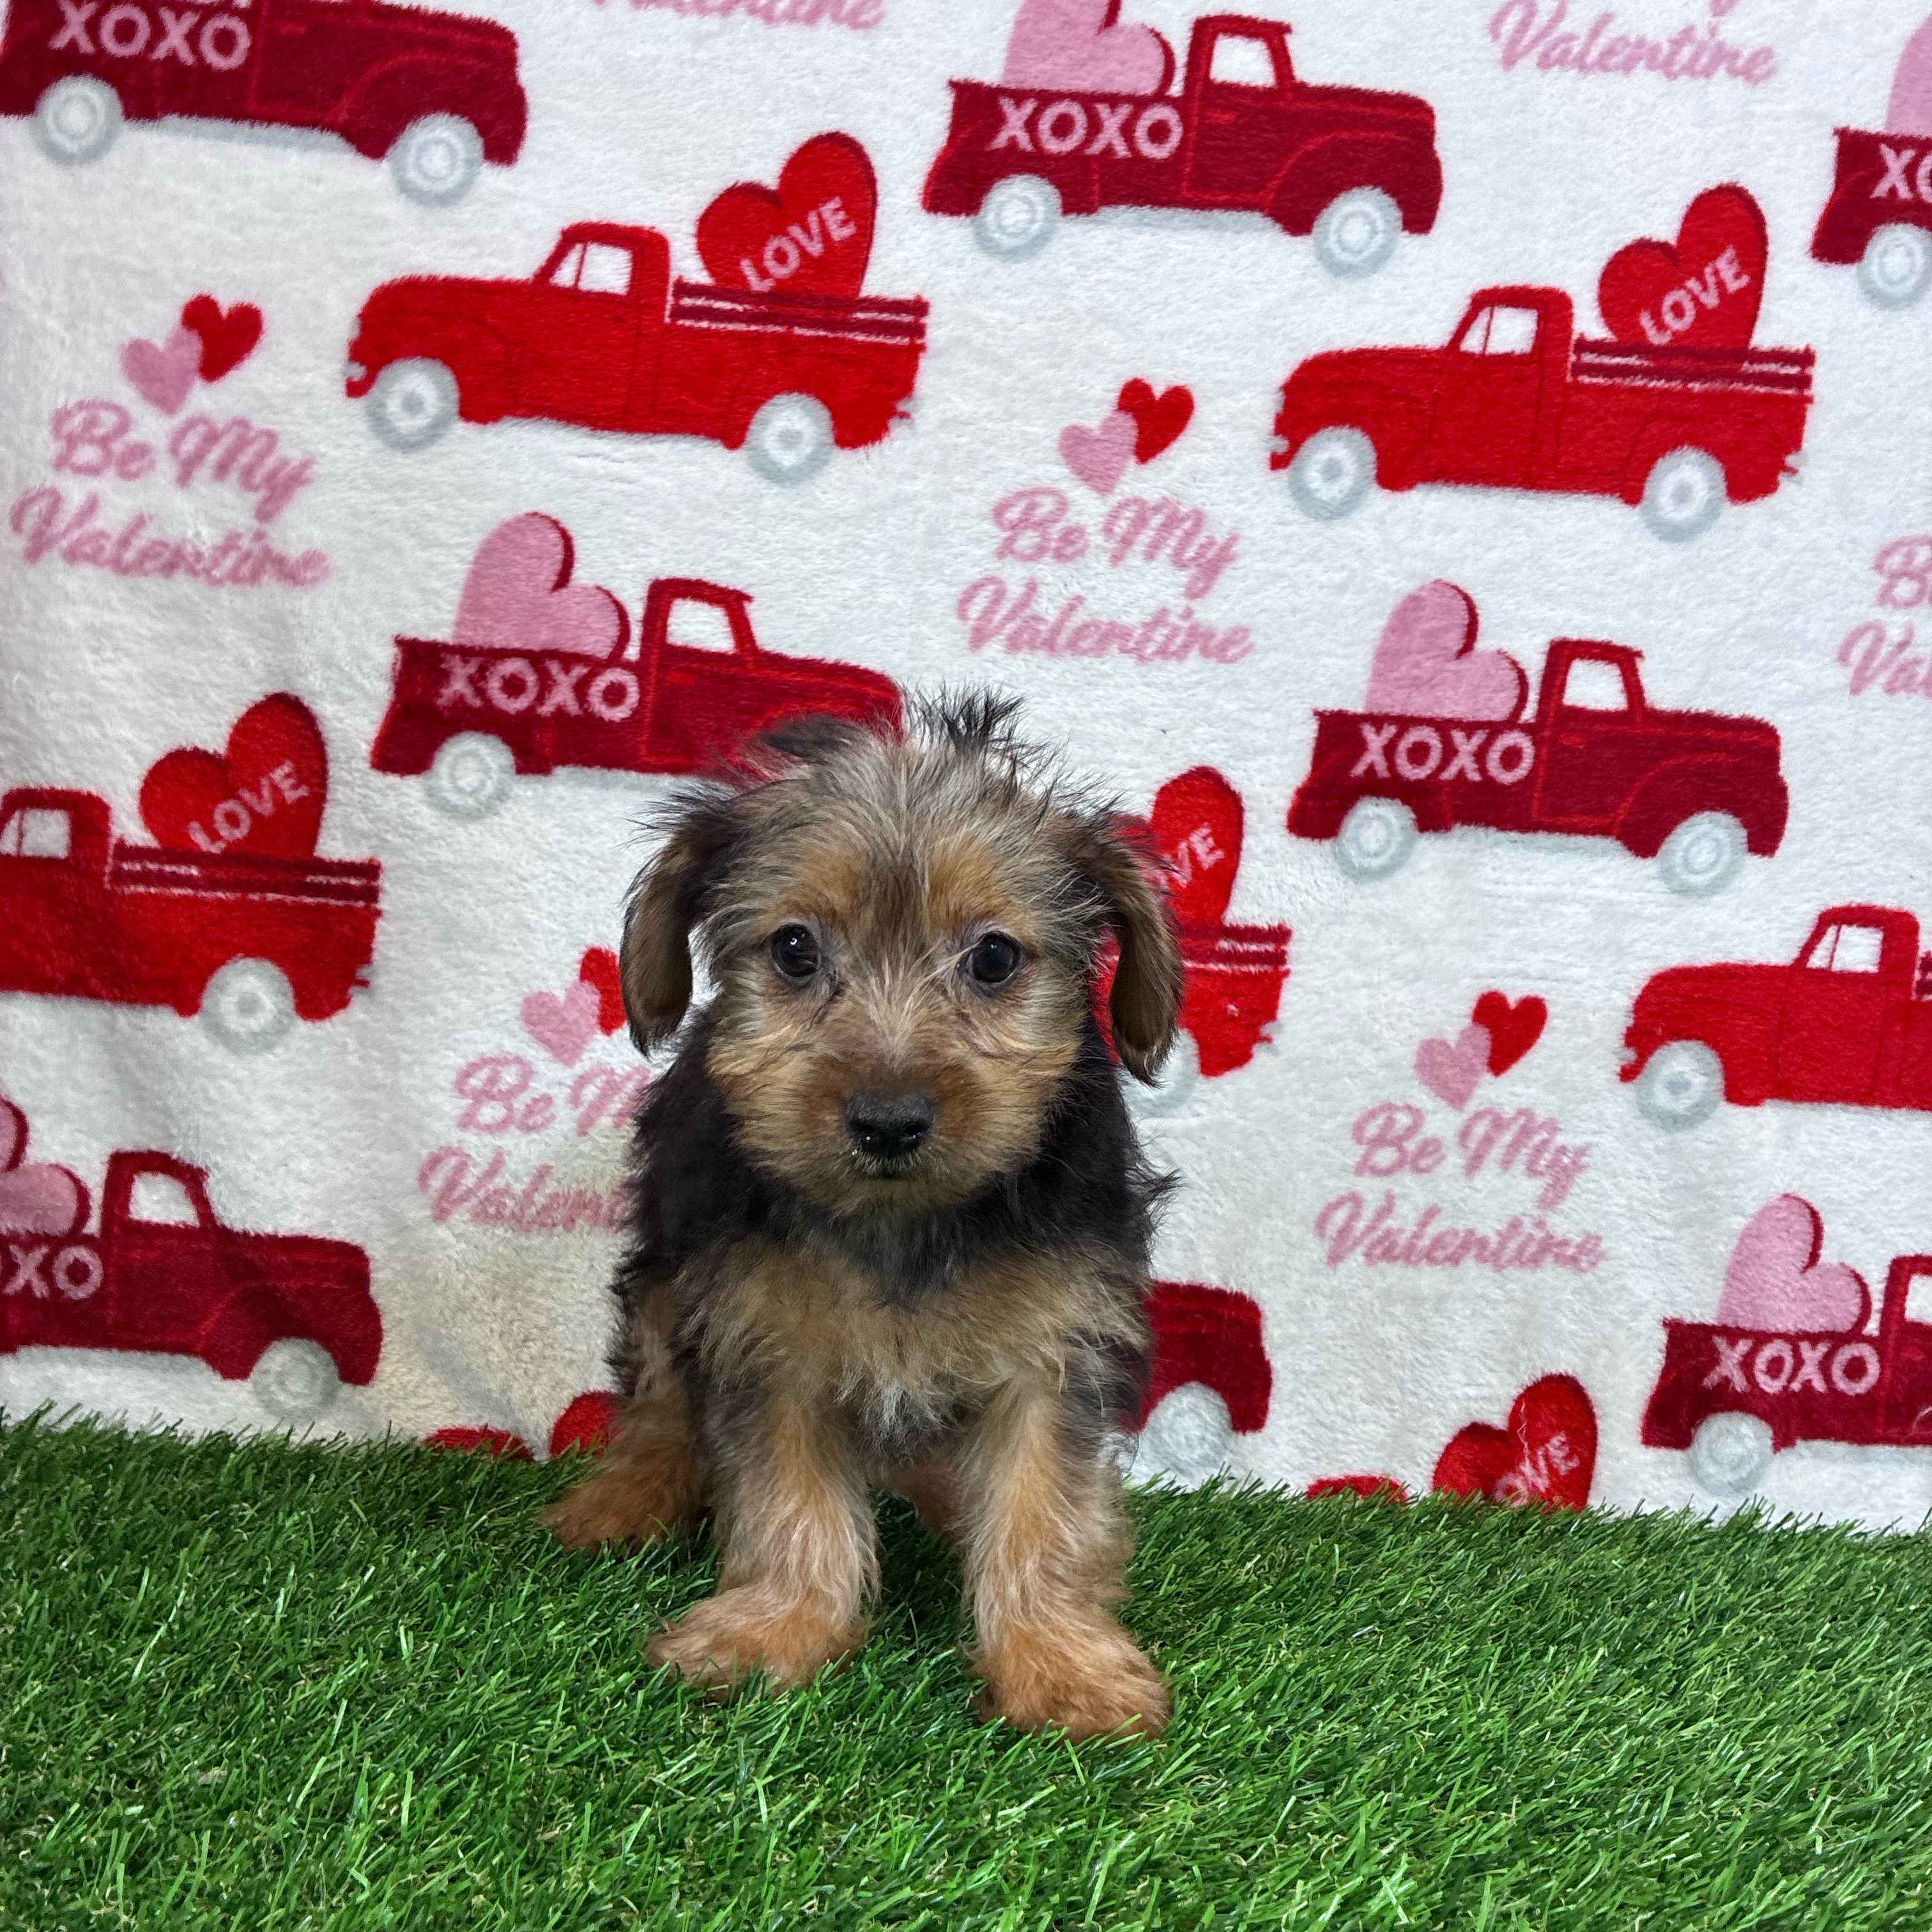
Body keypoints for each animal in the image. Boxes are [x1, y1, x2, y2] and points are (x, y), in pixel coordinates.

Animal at [543, 693, 1183, 1739]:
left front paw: (1060, 1662)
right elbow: (789, 1496)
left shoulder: (1054, 1344)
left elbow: (1041, 1504)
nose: (888, 1122)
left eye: (994, 958)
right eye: (795, 950)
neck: (903, 1221)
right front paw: (777, 1626)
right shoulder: (768, 1334)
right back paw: (626, 1498)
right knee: (660, 1400)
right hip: (668, 1275)